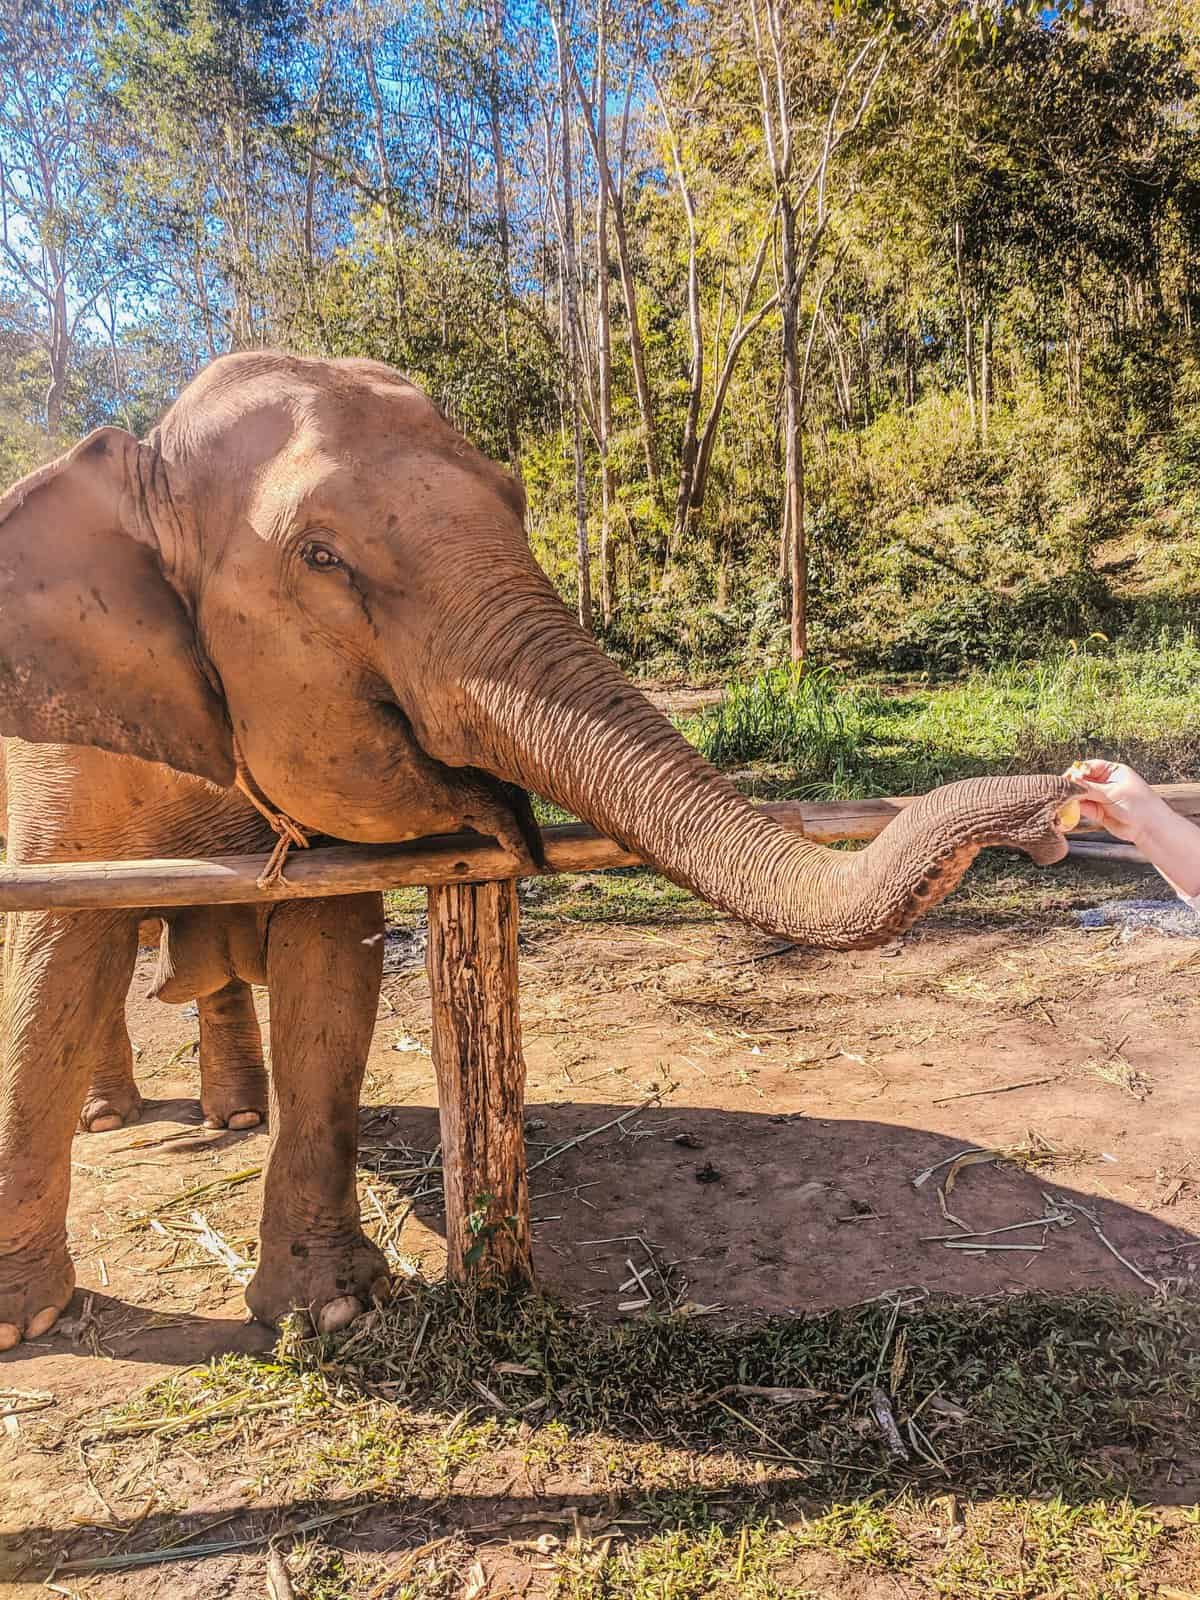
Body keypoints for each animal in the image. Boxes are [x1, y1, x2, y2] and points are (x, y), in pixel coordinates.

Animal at [0, 350, 1081, 1350]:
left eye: (517, 499)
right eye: (318, 556)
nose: (1060, 808)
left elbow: (330, 968)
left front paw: (331, 1312)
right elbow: (51, 963)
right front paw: (25, 1325)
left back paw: (234, 1120)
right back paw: (114, 1118)